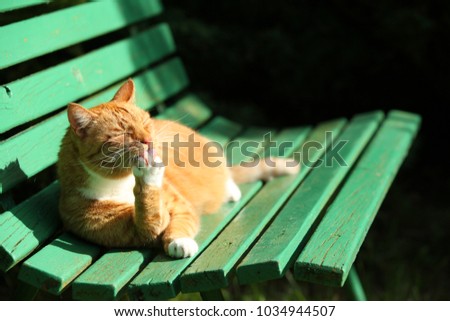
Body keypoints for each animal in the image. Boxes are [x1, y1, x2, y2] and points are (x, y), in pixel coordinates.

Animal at [58, 79, 300, 258]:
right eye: (123, 134)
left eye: (145, 123)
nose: (148, 141)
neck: (121, 183)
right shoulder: (135, 230)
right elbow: (151, 218)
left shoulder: (180, 206)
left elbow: (179, 222)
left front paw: (179, 241)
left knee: (227, 175)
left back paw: (230, 189)